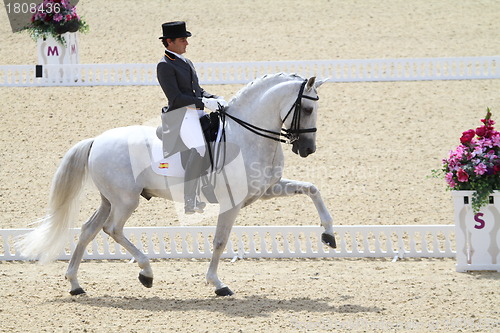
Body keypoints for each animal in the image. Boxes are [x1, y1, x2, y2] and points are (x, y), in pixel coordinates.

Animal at [17, 72, 336, 296]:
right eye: (308, 109)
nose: (308, 149)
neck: (247, 135)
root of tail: (97, 140)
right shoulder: (231, 203)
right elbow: (220, 241)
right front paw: (217, 283)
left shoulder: (268, 189)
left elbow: (313, 189)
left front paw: (328, 236)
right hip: (126, 200)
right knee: (113, 229)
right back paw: (146, 273)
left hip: (109, 200)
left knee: (88, 230)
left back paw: (75, 284)